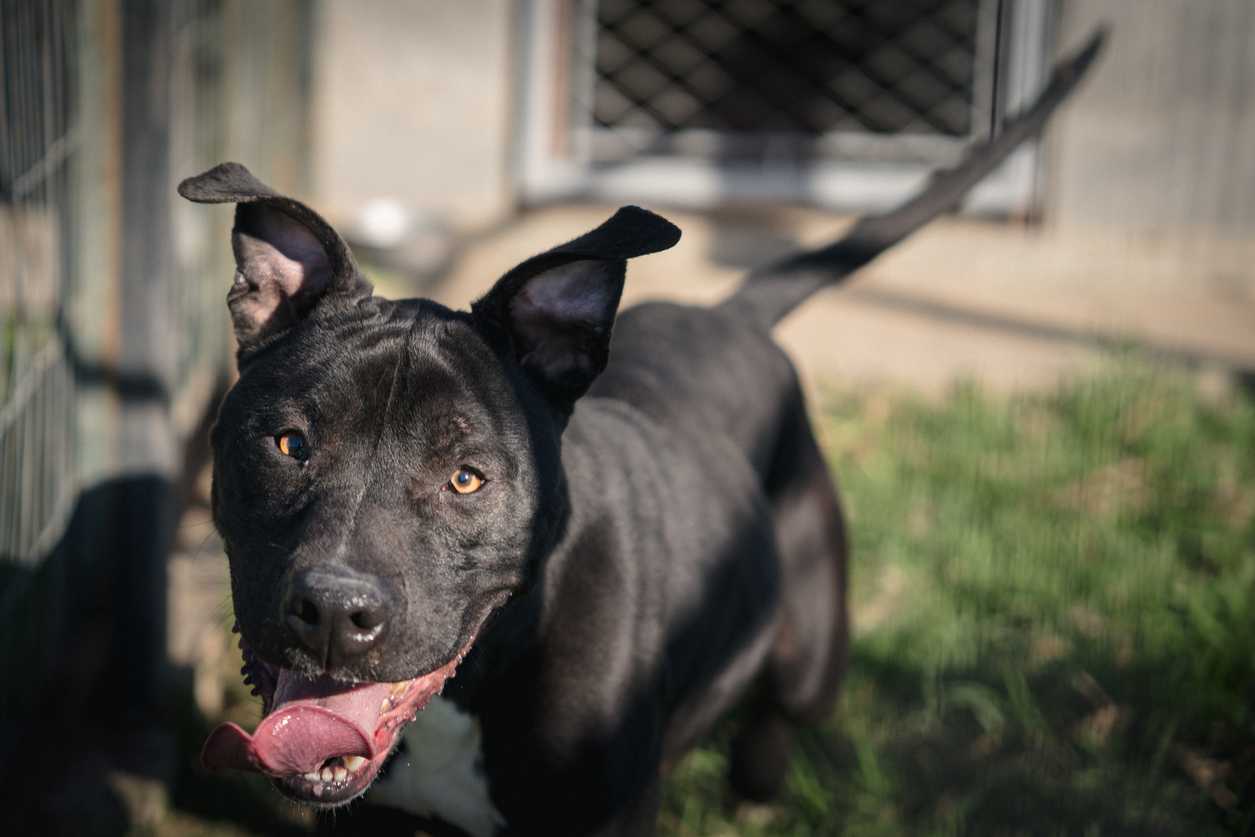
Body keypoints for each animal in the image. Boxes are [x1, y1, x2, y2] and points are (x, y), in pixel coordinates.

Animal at [179, 34, 1099, 837]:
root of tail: (733, 315)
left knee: (776, 719)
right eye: (291, 444)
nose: (335, 611)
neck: (481, 675)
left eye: (466, 477)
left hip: (809, 647)